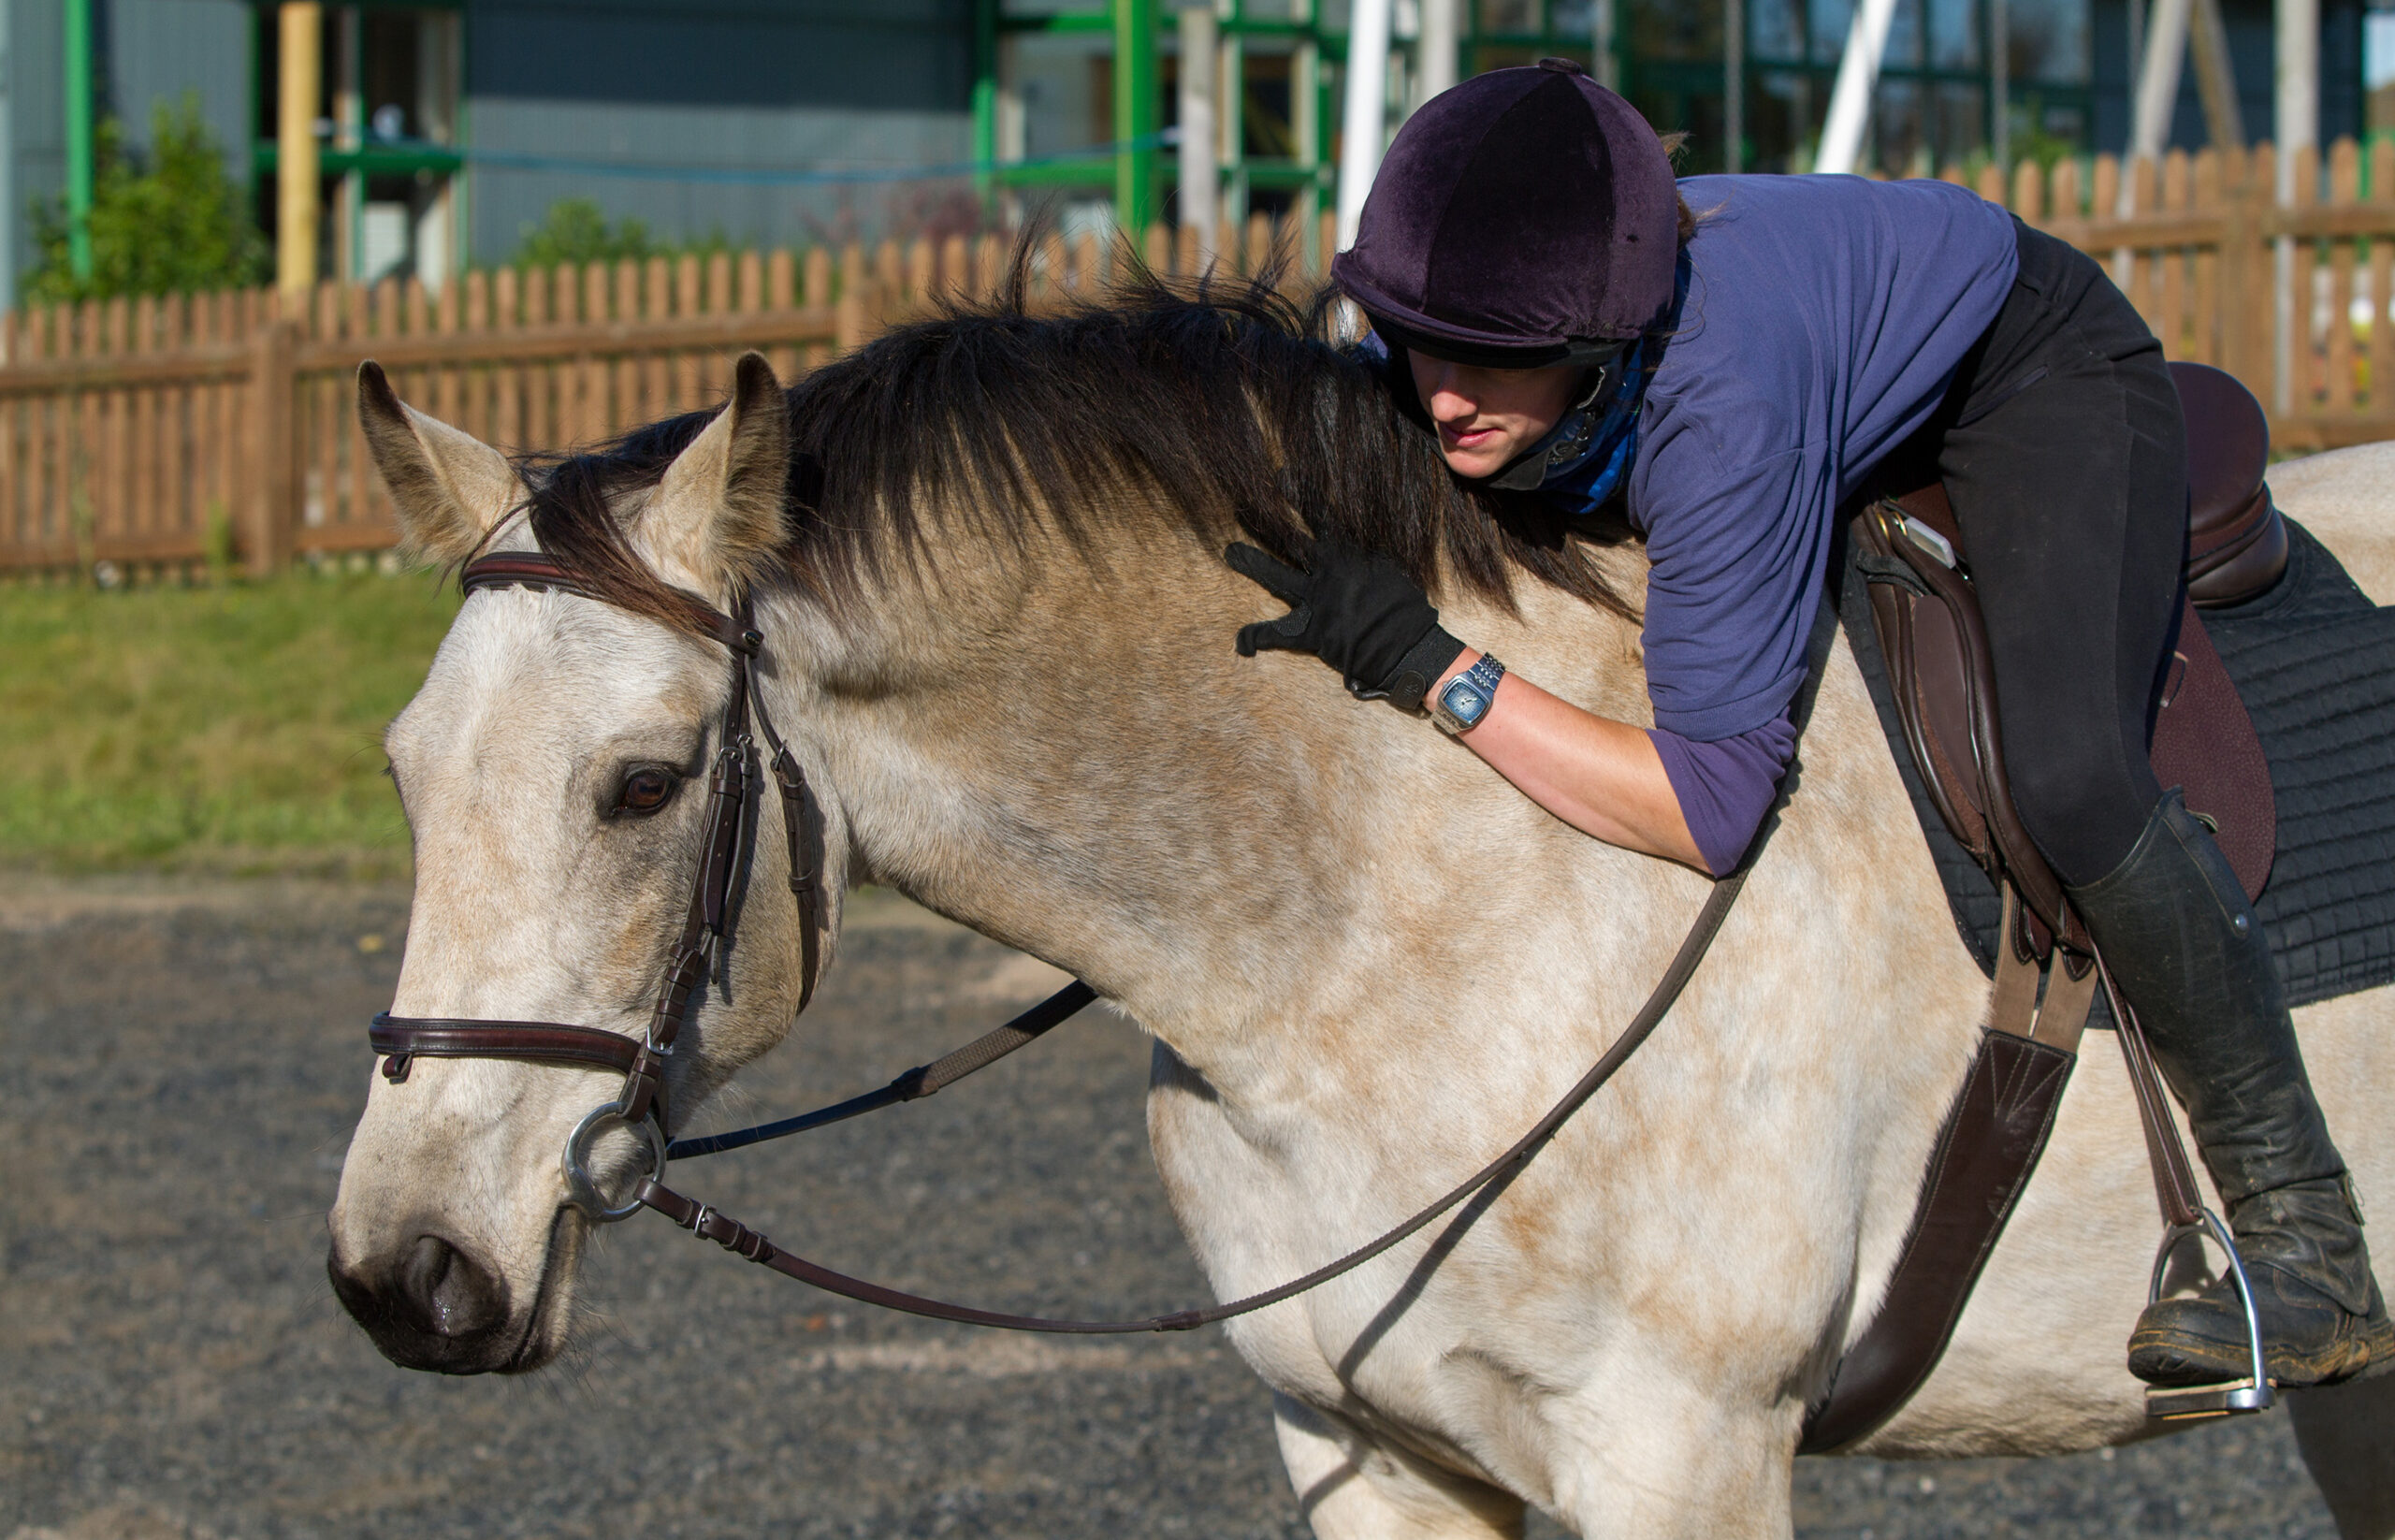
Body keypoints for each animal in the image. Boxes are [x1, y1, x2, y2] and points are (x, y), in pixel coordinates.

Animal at [327, 277, 2395, 1539]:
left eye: (640, 785)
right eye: (407, 773)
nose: (403, 1276)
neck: (1401, 906)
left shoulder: (1682, 1453)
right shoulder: (1366, 1447)